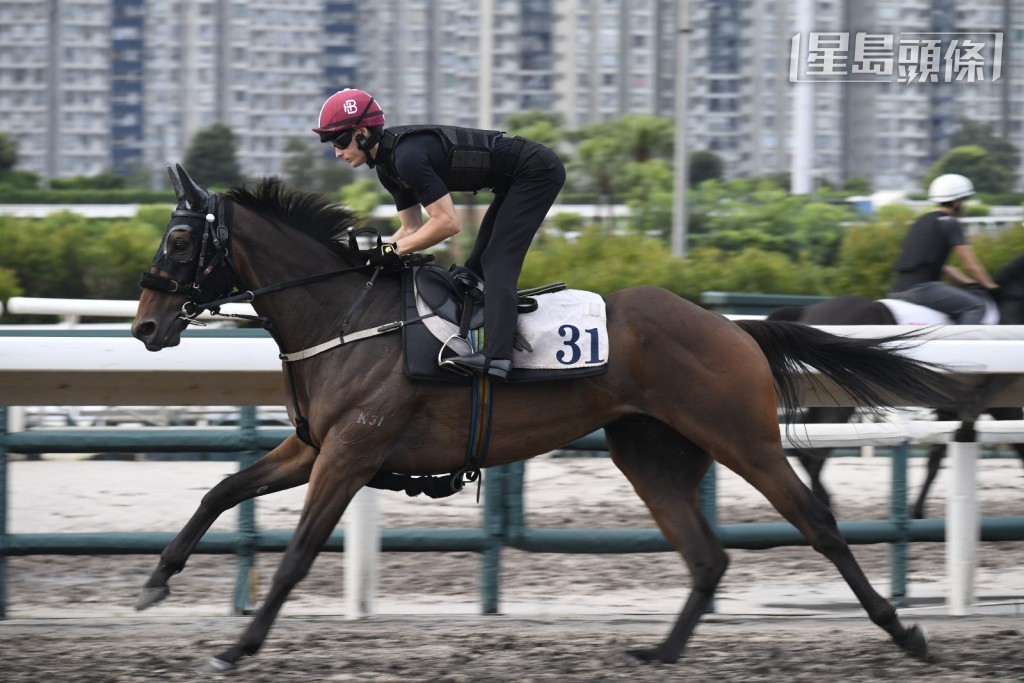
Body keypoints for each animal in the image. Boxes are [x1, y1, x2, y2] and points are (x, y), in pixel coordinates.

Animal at [130, 165, 960, 674]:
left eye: (180, 237)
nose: (144, 326)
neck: (347, 315)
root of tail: (734, 326)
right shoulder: (315, 447)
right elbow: (221, 490)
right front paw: (155, 582)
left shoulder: (350, 455)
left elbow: (299, 553)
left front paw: (238, 646)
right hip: (649, 451)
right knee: (707, 557)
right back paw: (662, 653)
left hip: (743, 438)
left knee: (817, 525)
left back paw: (907, 632)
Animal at [768, 258, 1024, 518]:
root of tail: (805, 311)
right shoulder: (999, 405)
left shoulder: (953, 410)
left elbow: (935, 460)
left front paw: (917, 511)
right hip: (840, 401)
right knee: (812, 455)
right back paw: (823, 504)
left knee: (806, 452)